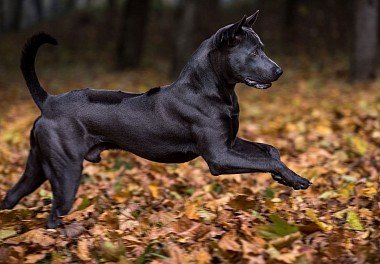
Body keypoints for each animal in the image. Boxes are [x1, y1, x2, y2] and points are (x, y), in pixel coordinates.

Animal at [0, 11, 310, 228]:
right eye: (254, 52)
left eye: (262, 48)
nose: (280, 71)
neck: (212, 88)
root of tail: (48, 101)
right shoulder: (219, 156)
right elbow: (267, 160)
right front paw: (297, 179)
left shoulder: (230, 142)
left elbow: (269, 151)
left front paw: (284, 176)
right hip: (66, 171)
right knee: (55, 213)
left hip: (38, 166)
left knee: (11, 196)